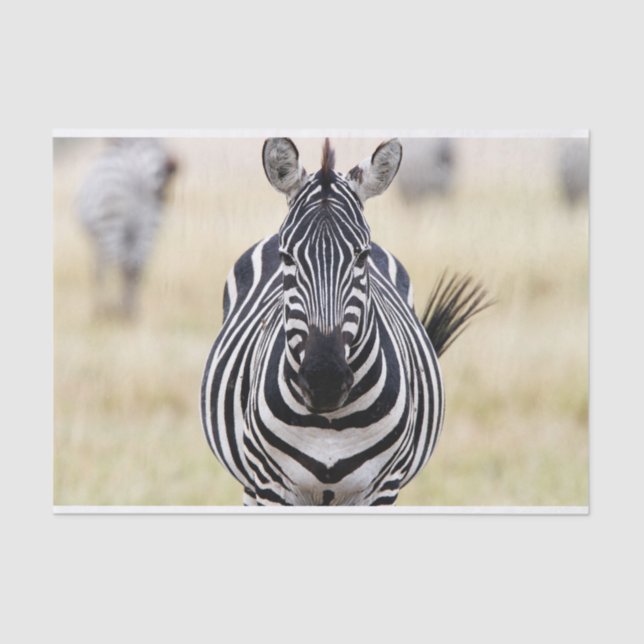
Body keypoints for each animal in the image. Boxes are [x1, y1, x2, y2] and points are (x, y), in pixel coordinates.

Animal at [77, 137, 178, 318]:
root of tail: (137, 166)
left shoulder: (96, 241)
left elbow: (98, 272)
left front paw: (99, 307)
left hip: (111, 221)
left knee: (122, 263)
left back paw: (115, 309)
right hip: (150, 225)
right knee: (136, 265)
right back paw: (130, 310)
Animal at [201, 138, 489, 506]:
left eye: (361, 256)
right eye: (286, 257)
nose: (324, 380)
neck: (330, 424)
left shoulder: (382, 489)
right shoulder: (270, 485)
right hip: (252, 483)